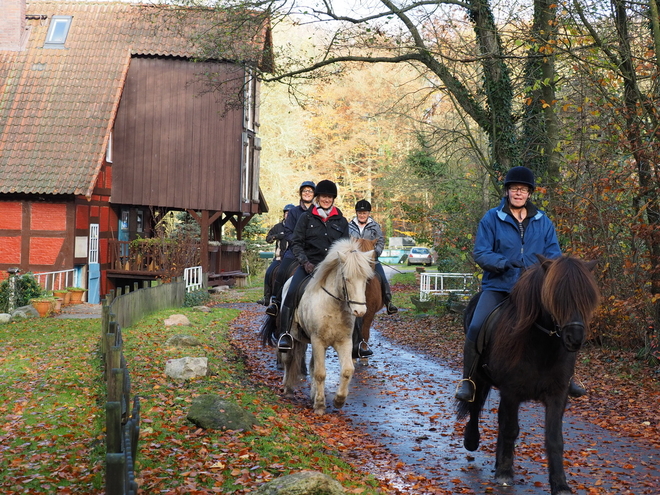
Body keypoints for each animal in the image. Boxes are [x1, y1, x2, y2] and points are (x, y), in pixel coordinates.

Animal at [278, 238, 374, 416]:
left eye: (365, 279)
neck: (334, 305)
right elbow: (320, 373)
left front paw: (338, 400)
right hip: (293, 337)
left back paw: (312, 394)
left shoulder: (344, 342)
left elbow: (347, 370)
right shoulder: (318, 341)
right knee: (288, 360)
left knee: (311, 365)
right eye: (347, 278)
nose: (360, 311)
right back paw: (288, 389)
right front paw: (320, 406)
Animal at [456, 256, 600, 495]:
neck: (541, 346)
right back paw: (472, 440)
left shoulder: (557, 395)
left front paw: (560, 484)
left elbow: (554, 438)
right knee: (475, 406)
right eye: (555, 296)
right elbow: (510, 429)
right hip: (479, 376)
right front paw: (505, 474)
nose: (575, 338)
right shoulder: (511, 392)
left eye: (587, 297)